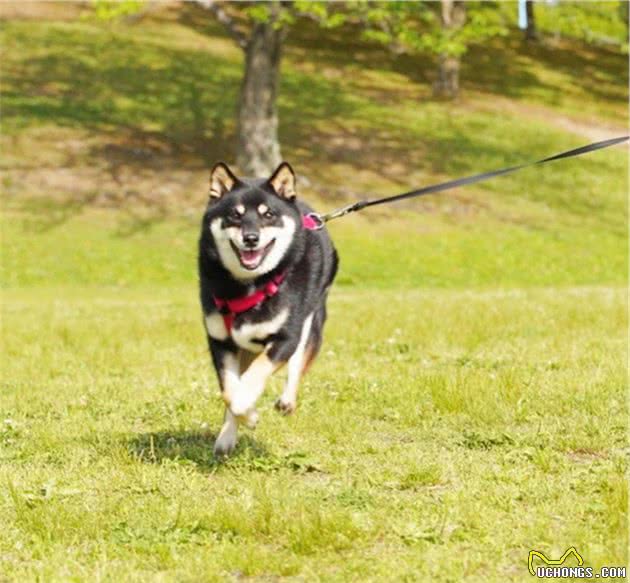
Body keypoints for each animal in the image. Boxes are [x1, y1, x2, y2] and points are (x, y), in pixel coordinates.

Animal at [199, 162, 338, 458]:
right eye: (234, 215)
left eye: (269, 214)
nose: (250, 238)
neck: (250, 286)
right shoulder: (220, 341)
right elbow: (230, 390)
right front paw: (243, 418)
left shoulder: (285, 337)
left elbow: (256, 375)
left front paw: (249, 413)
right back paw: (228, 435)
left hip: (312, 320)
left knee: (298, 361)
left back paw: (287, 400)